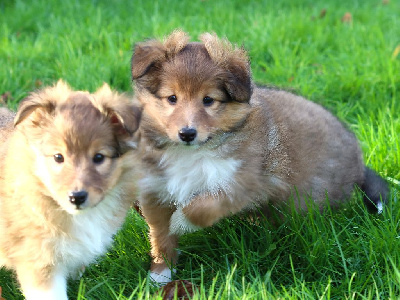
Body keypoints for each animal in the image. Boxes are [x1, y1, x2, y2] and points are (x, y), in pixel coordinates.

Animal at [132, 29, 390, 284]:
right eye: (172, 98)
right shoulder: (156, 190)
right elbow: (160, 235)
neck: (192, 153)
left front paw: (179, 223)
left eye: (208, 100)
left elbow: (199, 207)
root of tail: (359, 165)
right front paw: (159, 275)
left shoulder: (246, 182)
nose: (187, 133)